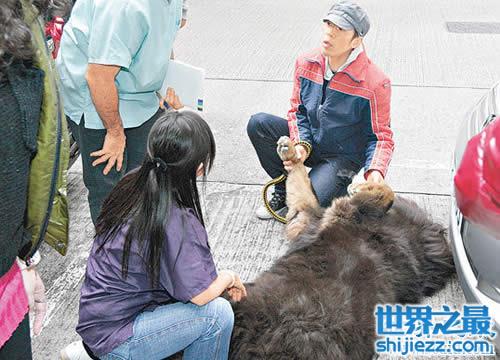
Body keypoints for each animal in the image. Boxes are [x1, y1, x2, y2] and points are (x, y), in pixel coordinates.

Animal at [229, 137, 456, 360]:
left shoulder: (332, 215)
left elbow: (384, 193)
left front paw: (361, 185)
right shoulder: (312, 218)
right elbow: (301, 184)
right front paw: (291, 151)